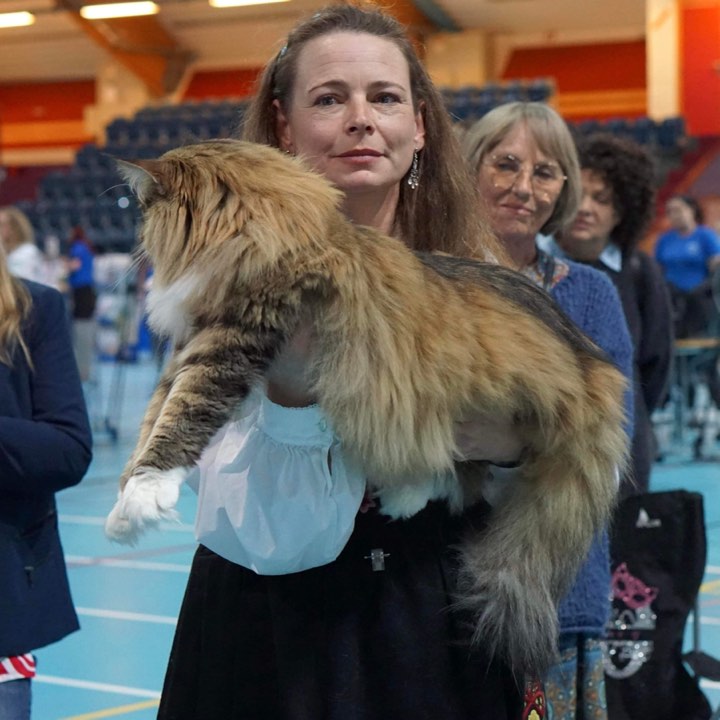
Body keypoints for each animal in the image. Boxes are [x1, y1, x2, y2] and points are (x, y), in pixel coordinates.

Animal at [105, 139, 628, 676]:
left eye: (144, 210)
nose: (136, 246)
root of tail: (595, 366)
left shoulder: (229, 341)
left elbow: (180, 417)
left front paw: (141, 498)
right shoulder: (192, 345)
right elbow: (154, 414)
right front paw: (124, 499)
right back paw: (405, 497)